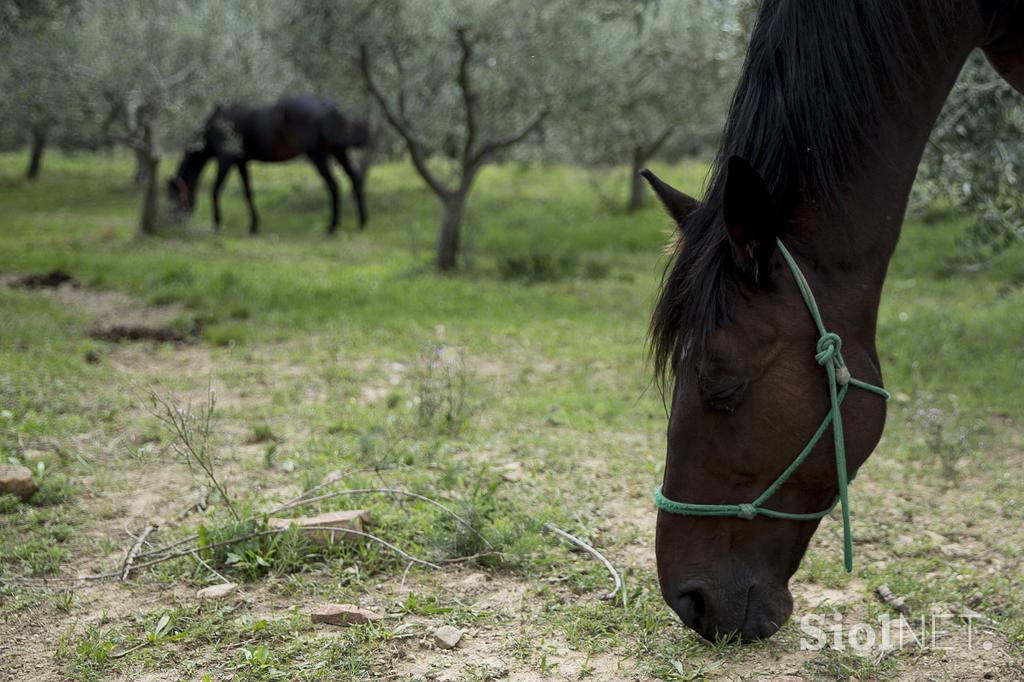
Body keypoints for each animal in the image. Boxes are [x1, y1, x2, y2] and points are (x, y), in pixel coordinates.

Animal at [169, 94, 370, 233]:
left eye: (173, 195)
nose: (175, 220)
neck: (218, 124)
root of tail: (326, 106)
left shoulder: (226, 160)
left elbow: (216, 190)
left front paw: (217, 223)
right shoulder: (242, 163)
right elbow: (248, 193)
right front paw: (253, 226)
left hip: (317, 155)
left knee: (333, 185)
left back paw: (332, 227)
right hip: (338, 152)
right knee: (355, 179)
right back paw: (361, 223)